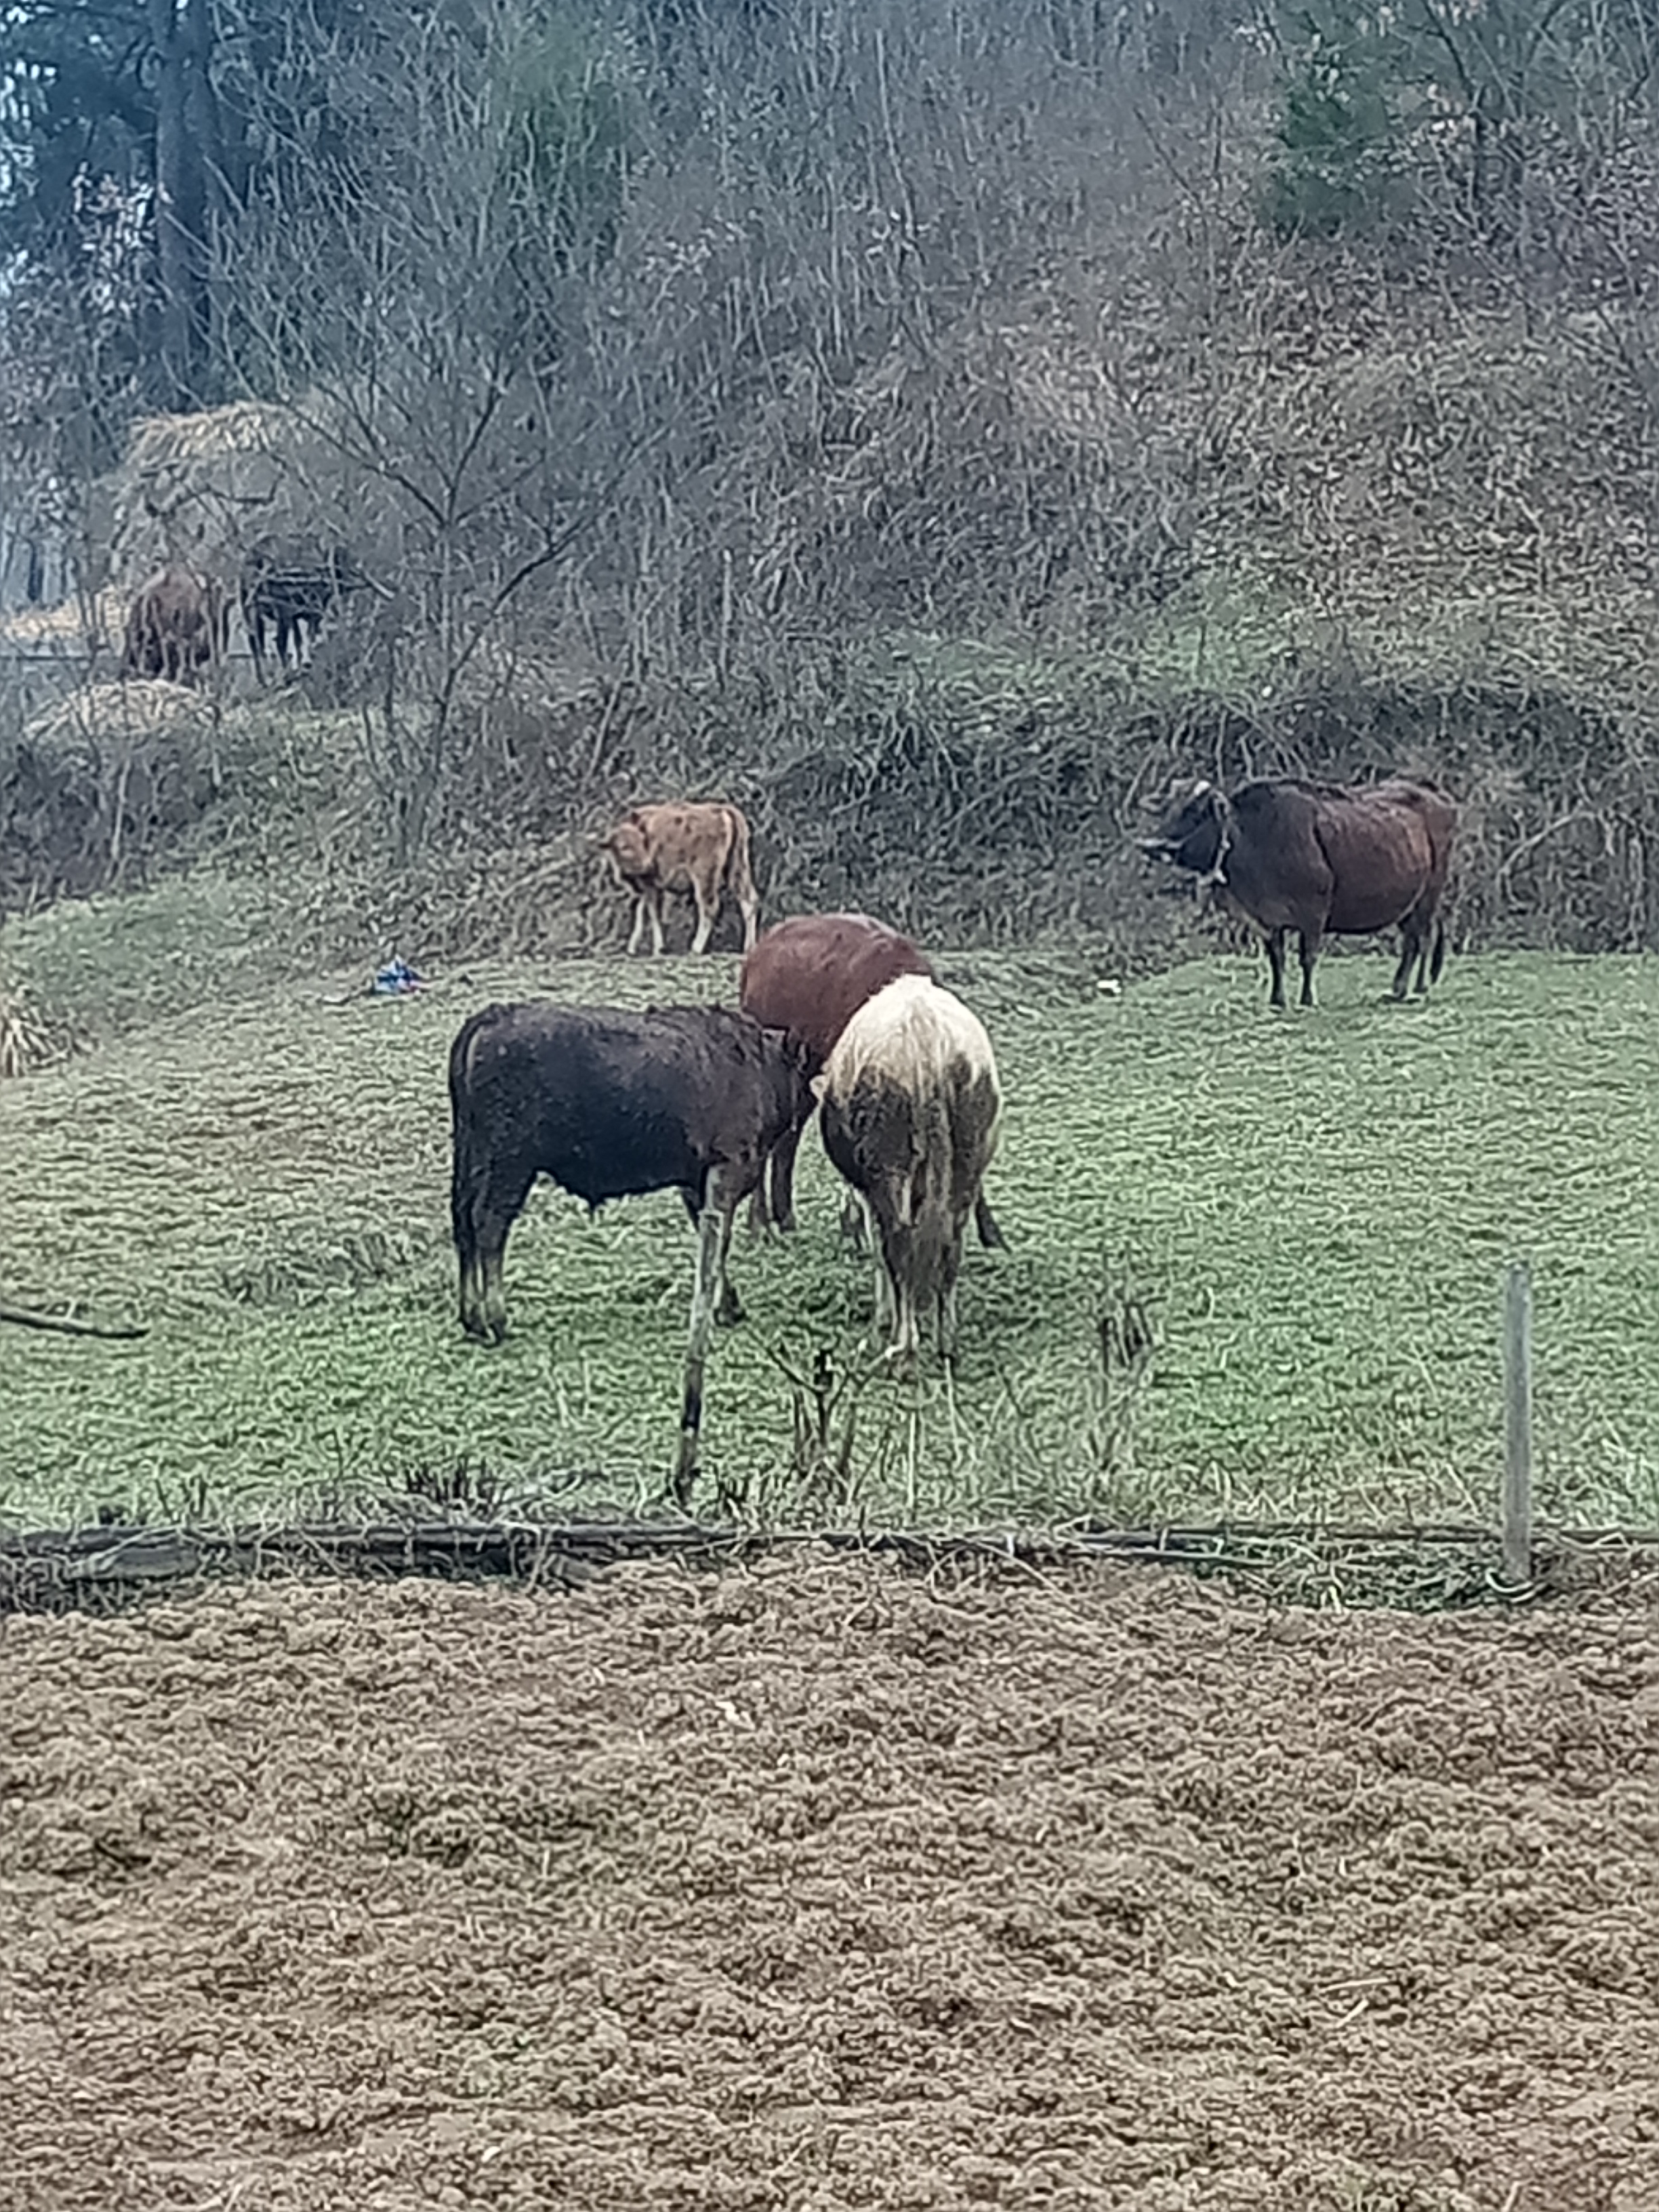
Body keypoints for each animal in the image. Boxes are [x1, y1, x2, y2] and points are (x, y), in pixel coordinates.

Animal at [449, 1004, 814, 1504]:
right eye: (801, 1070)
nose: (812, 1099)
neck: (754, 1060)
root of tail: (490, 1017)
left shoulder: (697, 1185)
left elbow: (713, 1252)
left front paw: (727, 1304)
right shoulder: (725, 1172)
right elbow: (719, 1247)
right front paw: (727, 1307)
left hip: (472, 1158)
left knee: (464, 1224)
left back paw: (470, 1314)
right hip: (509, 1162)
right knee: (488, 1227)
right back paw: (494, 1317)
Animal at [601, 805, 765, 960]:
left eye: (641, 840)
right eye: (624, 846)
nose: (648, 864)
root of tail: (724, 810)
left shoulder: (650, 886)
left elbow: (653, 914)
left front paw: (658, 949)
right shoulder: (648, 889)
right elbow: (641, 912)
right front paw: (632, 948)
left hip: (704, 876)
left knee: (709, 907)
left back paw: (696, 948)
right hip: (737, 868)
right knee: (749, 901)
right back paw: (749, 948)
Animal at [747, 907, 1008, 1256]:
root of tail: (762, 948)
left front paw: (993, 1235)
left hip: (803, 1077)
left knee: (788, 1138)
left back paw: (786, 1217)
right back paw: (761, 1223)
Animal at [814, 977, 1000, 1371]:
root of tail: (925, 1033)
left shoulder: (870, 1192)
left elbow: (880, 1251)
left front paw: (884, 1320)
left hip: (890, 1163)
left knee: (900, 1244)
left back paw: (904, 1345)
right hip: (966, 1161)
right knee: (949, 1246)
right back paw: (946, 1341)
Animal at [1141, 774, 1460, 1008]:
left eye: (1194, 812)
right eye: (1167, 810)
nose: (1150, 846)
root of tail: (1433, 792)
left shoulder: (1313, 911)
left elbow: (1308, 958)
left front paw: (1307, 999)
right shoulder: (1269, 920)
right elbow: (1277, 960)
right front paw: (1277, 999)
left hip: (1429, 896)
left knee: (1419, 940)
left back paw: (1411, 987)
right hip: (1409, 904)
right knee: (1416, 940)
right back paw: (1405, 987)